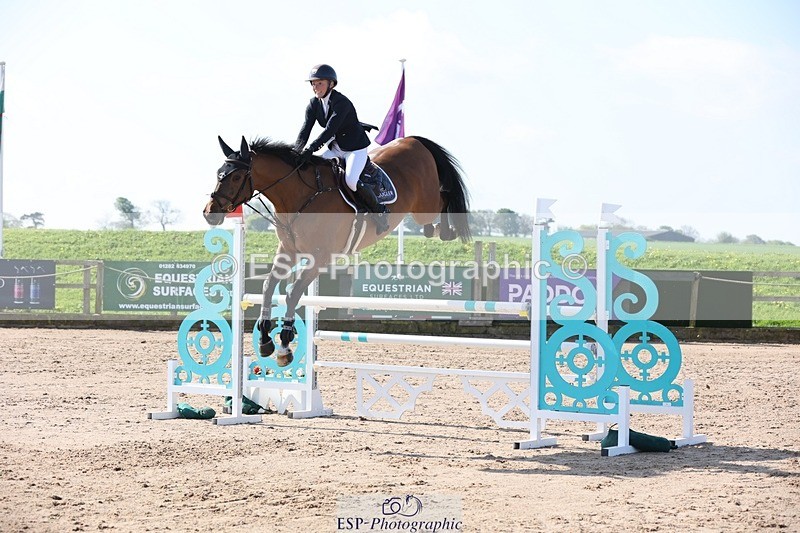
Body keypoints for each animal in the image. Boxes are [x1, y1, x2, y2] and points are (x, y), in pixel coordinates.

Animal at [204, 135, 471, 366]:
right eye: (218, 174)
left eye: (236, 177)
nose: (210, 213)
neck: (299, 197)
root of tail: (413, 140)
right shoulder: (288, 251)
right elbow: (269, 286)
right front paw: (264, 340)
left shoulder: (319, 257)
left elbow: (292, 294)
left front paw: (285, 345)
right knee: (431, 220)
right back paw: (435, 230)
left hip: (424, 204)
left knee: (444, 197)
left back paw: (446, 230)